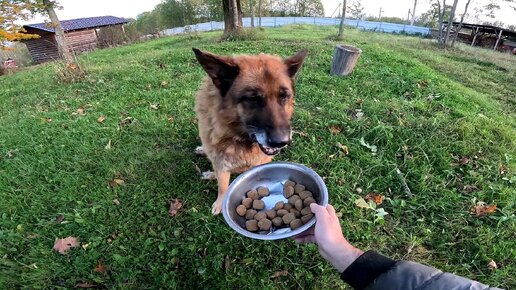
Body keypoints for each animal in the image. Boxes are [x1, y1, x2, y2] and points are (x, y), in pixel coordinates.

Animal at [192, 47, 306, 214]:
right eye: (252, 99)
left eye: (284, 96)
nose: (282, 142)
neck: (240, 138)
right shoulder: (221, 163)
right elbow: (222, 186)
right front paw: (220, 202)